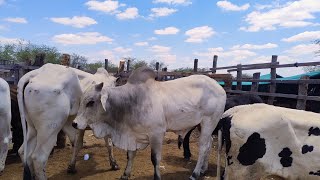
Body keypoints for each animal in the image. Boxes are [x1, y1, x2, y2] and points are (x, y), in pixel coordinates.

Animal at [72, 67, 228, 179]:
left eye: (91, 102)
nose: (74, 124)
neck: (131, 102)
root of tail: (219, 87)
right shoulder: (133, 135)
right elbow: (130, 155)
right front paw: (125, 174)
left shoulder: (157, 134)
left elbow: (155, 159)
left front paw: (157, 177)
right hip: (202, 125)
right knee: (208, 145)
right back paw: (202, 170)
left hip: (209, 121)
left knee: (203, 147)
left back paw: (195, 174)